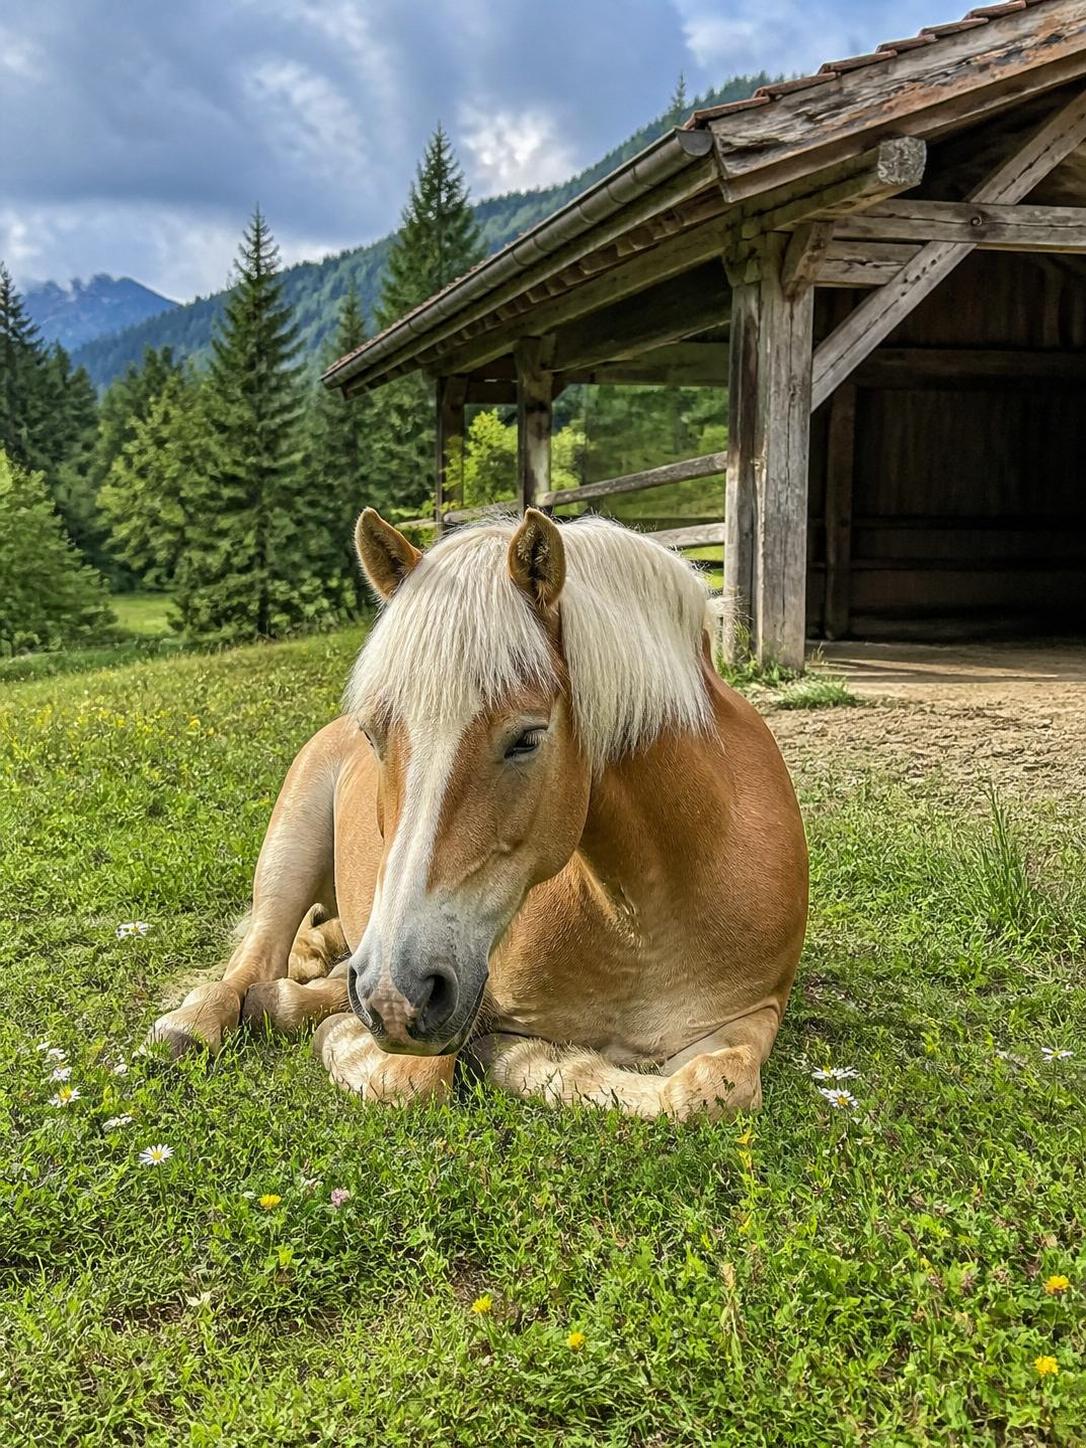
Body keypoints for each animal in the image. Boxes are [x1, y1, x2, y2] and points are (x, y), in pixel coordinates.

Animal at [146, 509, 808, 1119]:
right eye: (374, 732)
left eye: (528, 738)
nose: (392, 995)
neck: (642, 921)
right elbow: (412, 1079)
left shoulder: (752, 1014)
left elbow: (713, 1088)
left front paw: (530, 1059)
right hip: (292, 850)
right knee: (257, 956)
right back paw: (204, 1019)